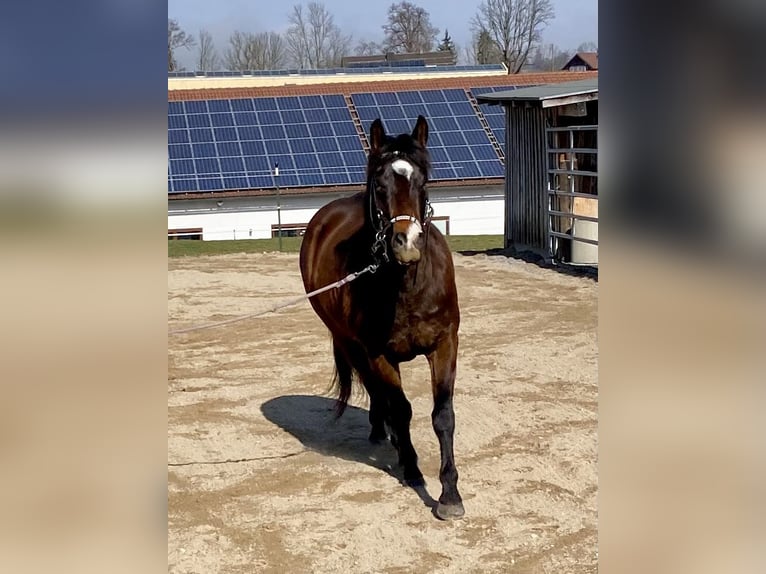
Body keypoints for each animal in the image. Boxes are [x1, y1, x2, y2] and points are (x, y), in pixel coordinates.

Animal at [299, 116, 464, 520]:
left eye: (423, 181)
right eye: (379, 185)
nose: (407, 244)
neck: (406, 286)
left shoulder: (445, 345)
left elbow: (443, 415)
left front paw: (450, 494)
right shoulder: (379, 353)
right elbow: (401, 409)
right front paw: (412, 468)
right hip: (348, 341)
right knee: (376, 390)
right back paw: (383, 431)